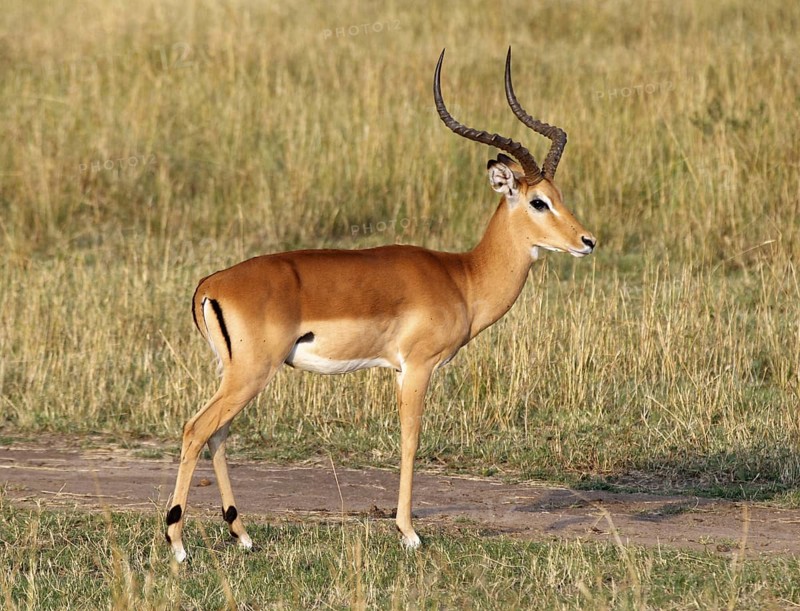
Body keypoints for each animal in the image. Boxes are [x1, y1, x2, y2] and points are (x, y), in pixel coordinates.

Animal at [165, 48, 596, 562]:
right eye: (537, 202)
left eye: (559, 196)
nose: (587, 241)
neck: (462, 278)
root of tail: (209, 284)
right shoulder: (418, 367)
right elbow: (410, 441)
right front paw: (409, 533)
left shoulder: (396, 370)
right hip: (250, 374)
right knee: (196, 429)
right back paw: (178, 545)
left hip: (236, 375)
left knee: (217, 434)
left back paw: (243, 535)